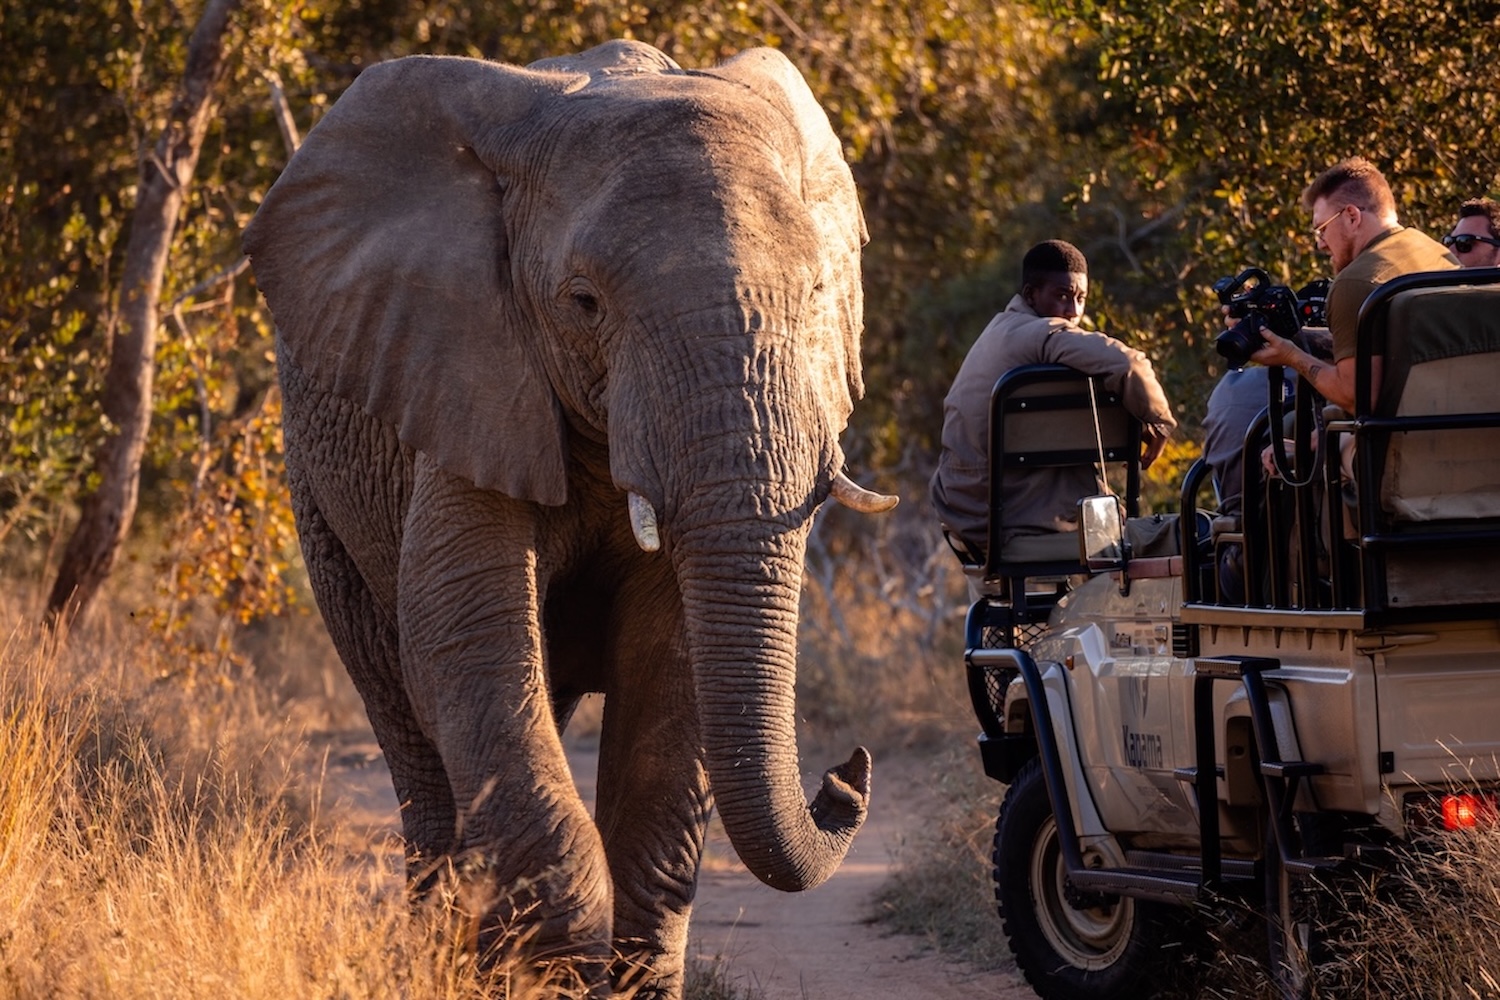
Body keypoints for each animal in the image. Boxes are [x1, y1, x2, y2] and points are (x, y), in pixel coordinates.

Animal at [242, 38, 896, 998]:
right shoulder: (466, 374)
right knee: (405, 709)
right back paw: (452, 959)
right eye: (584, 302)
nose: (847, 776)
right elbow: (465, 640)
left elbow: (672, 664)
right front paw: (556, 974)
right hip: (321, 493)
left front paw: (621, 982)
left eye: (818, 290)